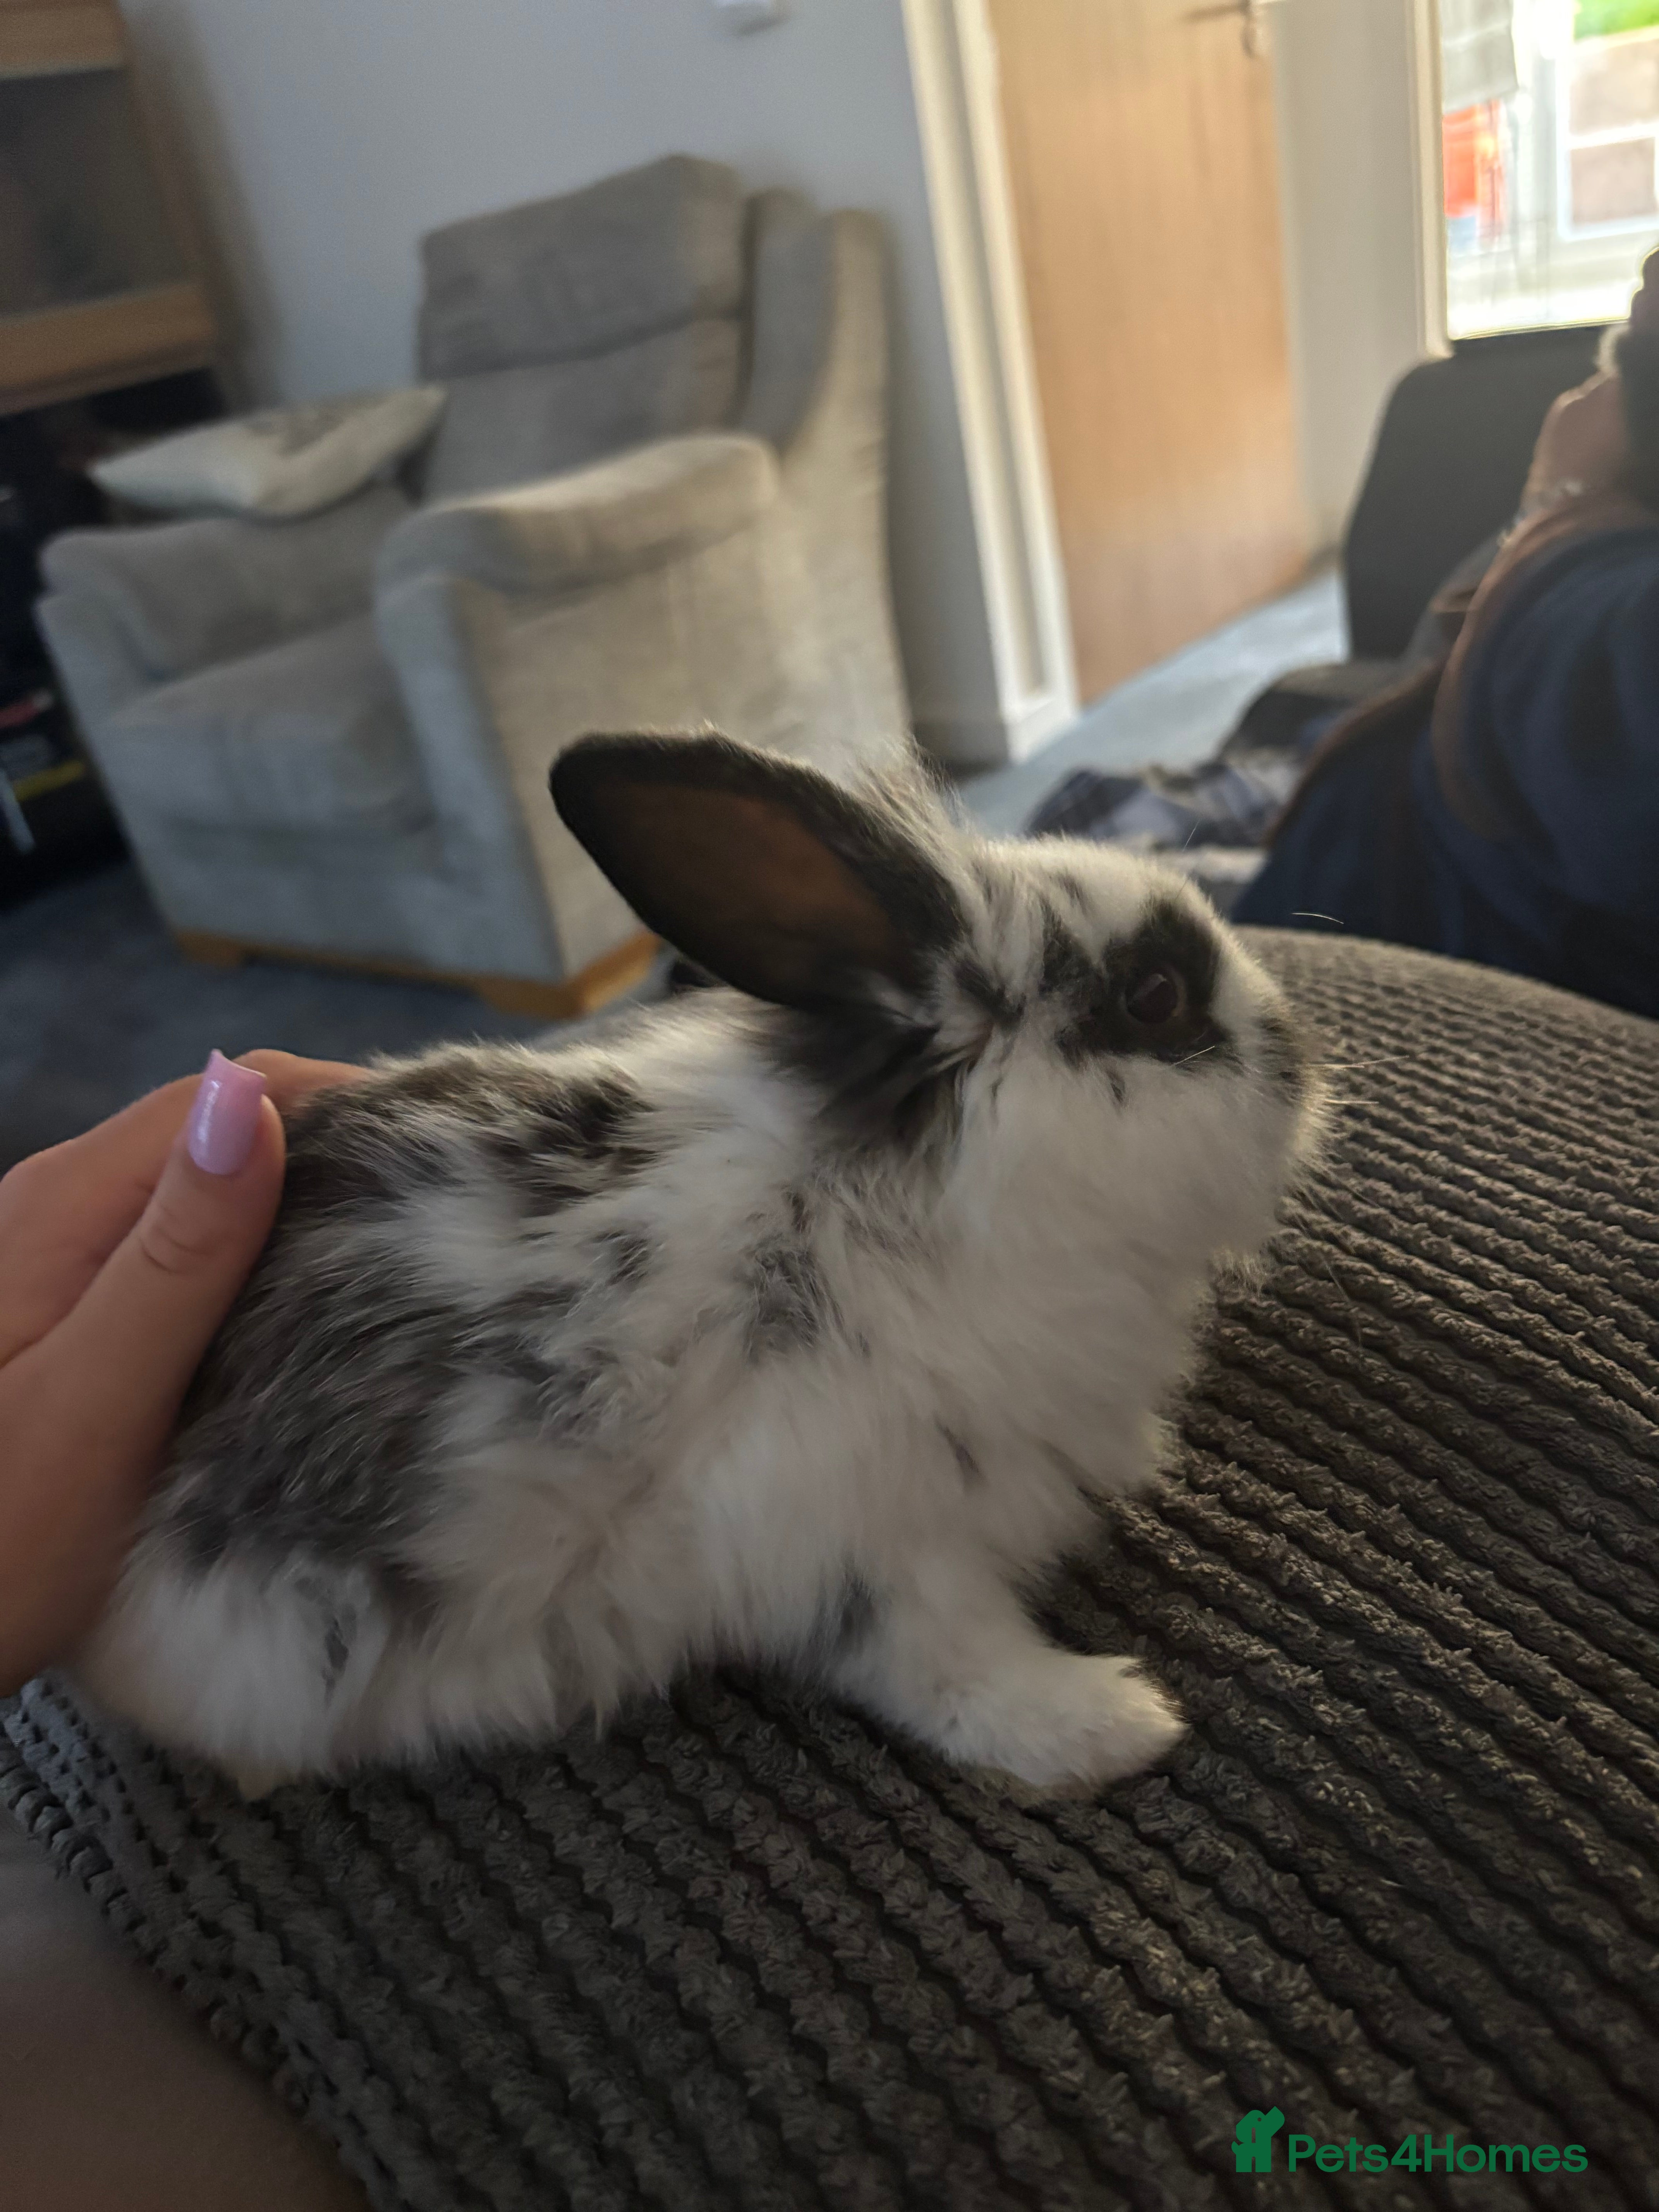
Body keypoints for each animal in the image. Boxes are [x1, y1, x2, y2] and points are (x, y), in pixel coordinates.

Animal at [73, 732, 1323, 1796]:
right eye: (1156, 997)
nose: (1301, 1055)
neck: (907, 1210)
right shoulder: (859, 1530)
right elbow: (949, 1665)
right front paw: (1112, 1725)